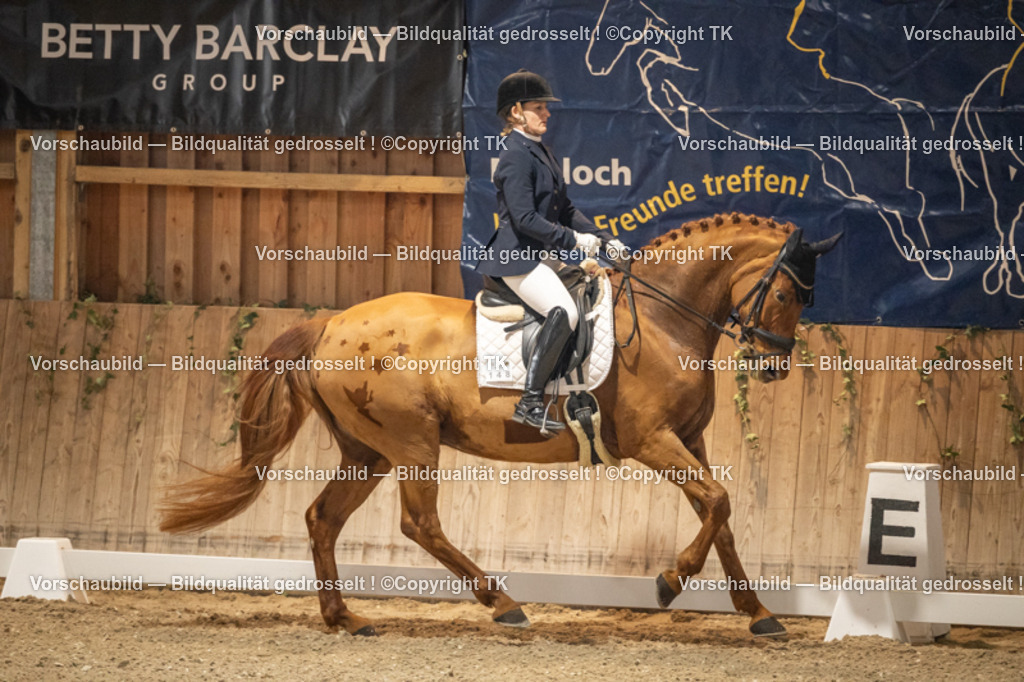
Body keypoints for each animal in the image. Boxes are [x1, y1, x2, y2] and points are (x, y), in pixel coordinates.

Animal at [160, 212, 841, 638]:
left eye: (805, 299)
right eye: (787, 295)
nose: (774, 366)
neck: (662, 319)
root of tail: (329, 323)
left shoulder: (689, 440)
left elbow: (719, 515)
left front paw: (758, 613)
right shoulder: (654, 442)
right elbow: (719, 503)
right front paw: (670, 582)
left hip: (368, 450)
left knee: (323, 518)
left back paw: (345, 618)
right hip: (411, 442)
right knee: (419, 523)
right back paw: (503, 603)